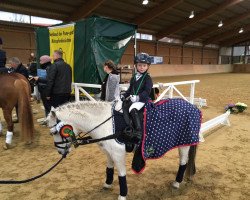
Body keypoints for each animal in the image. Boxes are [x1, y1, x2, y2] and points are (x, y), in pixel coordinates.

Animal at [46, 101, 196, 200]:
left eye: (54, 132)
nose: (60, 152)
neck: (105, 124)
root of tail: (192, 106)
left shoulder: (118, 154)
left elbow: (121, 175)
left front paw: (122, 195)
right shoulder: (108, 152)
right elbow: (109, 168)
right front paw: (107, 184)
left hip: (184, 143)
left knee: (183, 161)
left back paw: (177, 183)